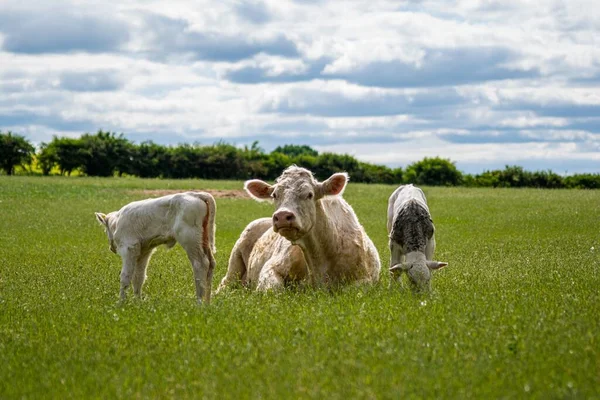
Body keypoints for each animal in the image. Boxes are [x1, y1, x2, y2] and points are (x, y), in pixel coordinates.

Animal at [216, 164, 380, 292]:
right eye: (274, 195)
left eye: (309, 194)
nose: (282, 216)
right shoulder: (271, 267)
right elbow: (273, 290)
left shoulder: (365, 279)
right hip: (234, 264)